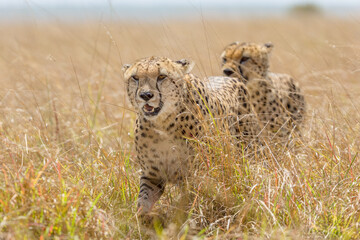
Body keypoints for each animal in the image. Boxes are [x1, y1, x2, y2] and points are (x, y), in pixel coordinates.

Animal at [122, 56, 294, 216]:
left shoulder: (196, 174)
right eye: (135, 77)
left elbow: (189, 202)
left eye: (162, 76)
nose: (146, 95)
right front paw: (141, 219)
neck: (162, 124)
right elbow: (143, 201)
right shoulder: (152, 176)